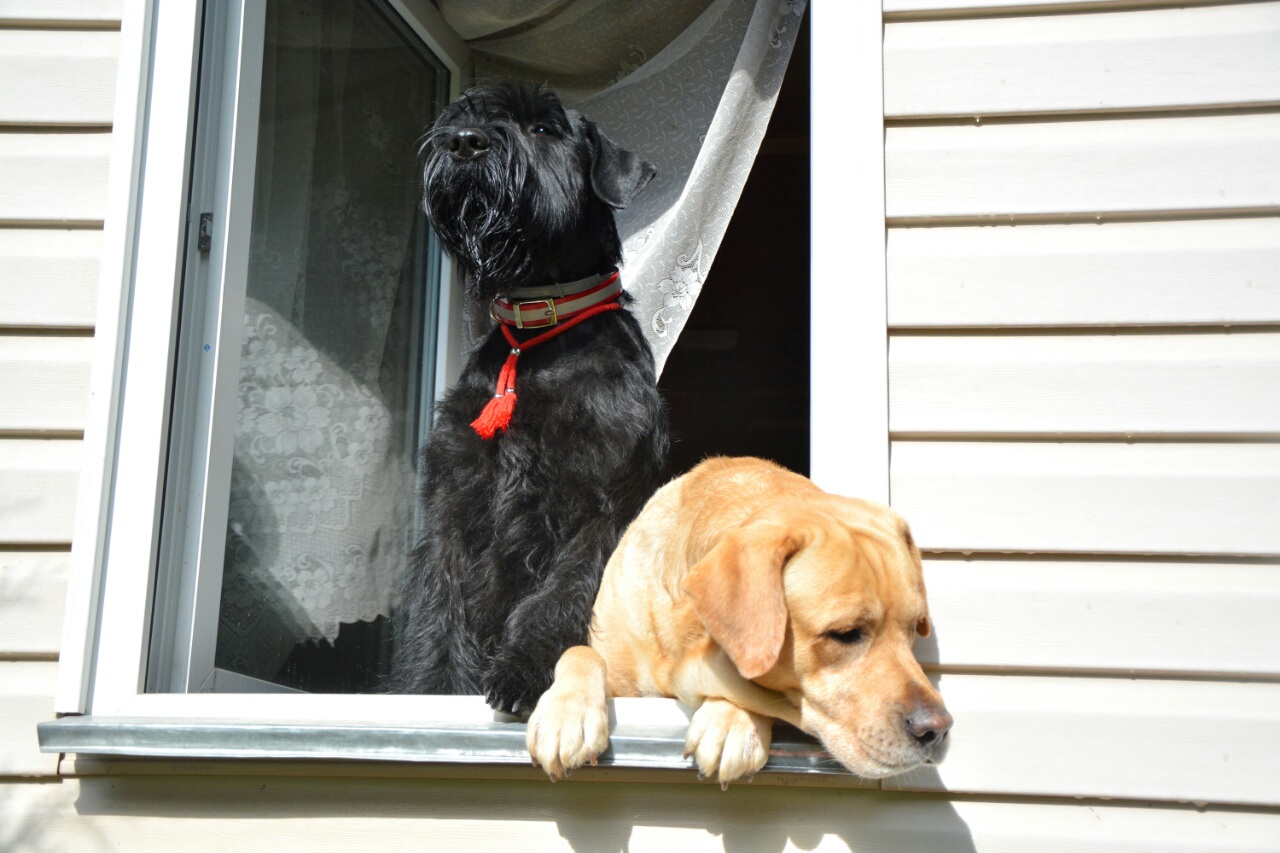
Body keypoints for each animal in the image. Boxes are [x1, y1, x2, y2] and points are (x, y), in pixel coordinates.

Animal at [388, 83, 669, 715]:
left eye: (544, 128)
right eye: (463, 118)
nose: (464, 143)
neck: (538, 340)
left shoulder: (604, 502)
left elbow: (560, 594)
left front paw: (522, 671)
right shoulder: (455, 495)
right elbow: (439, 608)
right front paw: (431, 691)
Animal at [526, 456, 952, 784]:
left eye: (913, 629)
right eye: (845, 634)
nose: (938, 729)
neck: (686, 644)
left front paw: (733, 721)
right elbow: (580, 652)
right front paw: (567, 714)